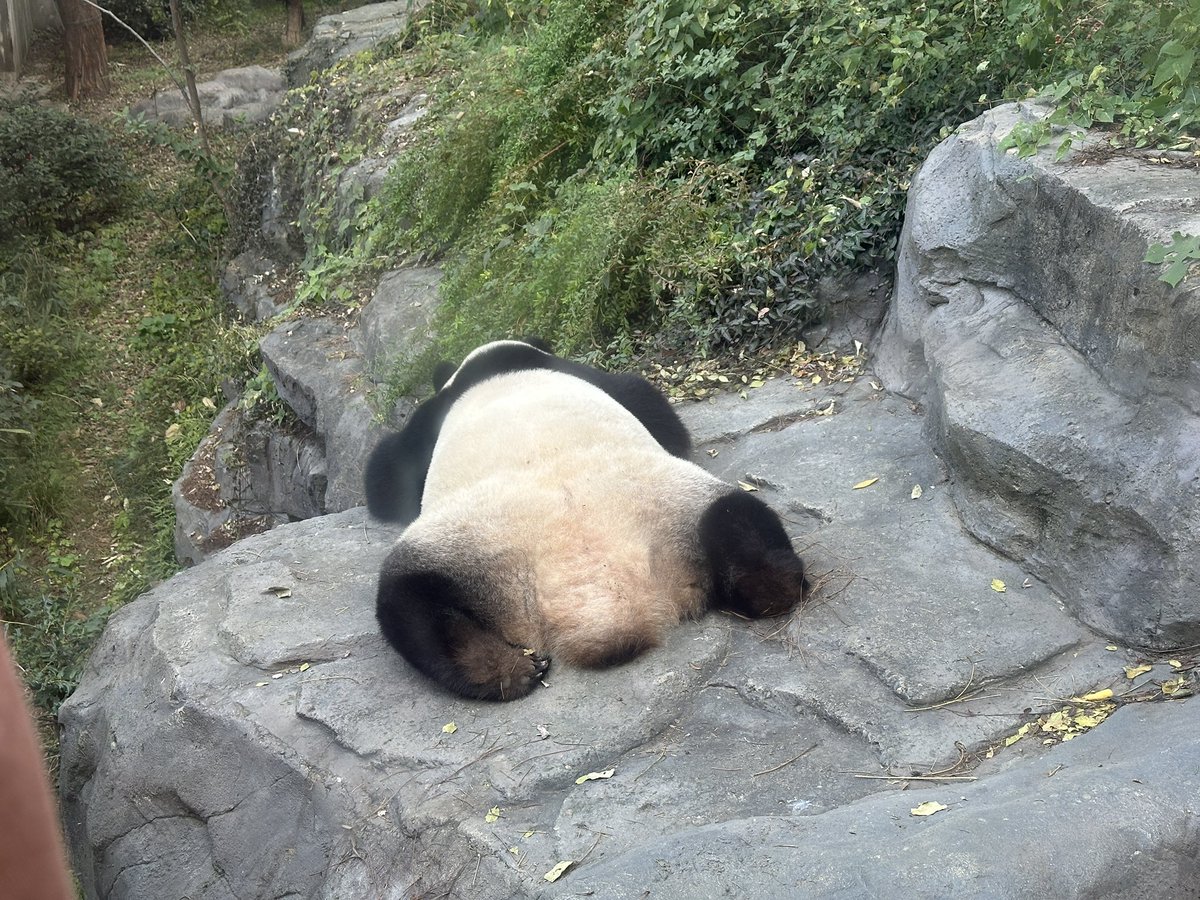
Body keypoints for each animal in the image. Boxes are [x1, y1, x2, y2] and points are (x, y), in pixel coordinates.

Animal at [364, 340, 808, 701]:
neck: (493, 360)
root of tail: (602, 600)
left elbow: (385, 474)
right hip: (475, 544)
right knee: (409, 598)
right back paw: (502, 668)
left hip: (667, 503)